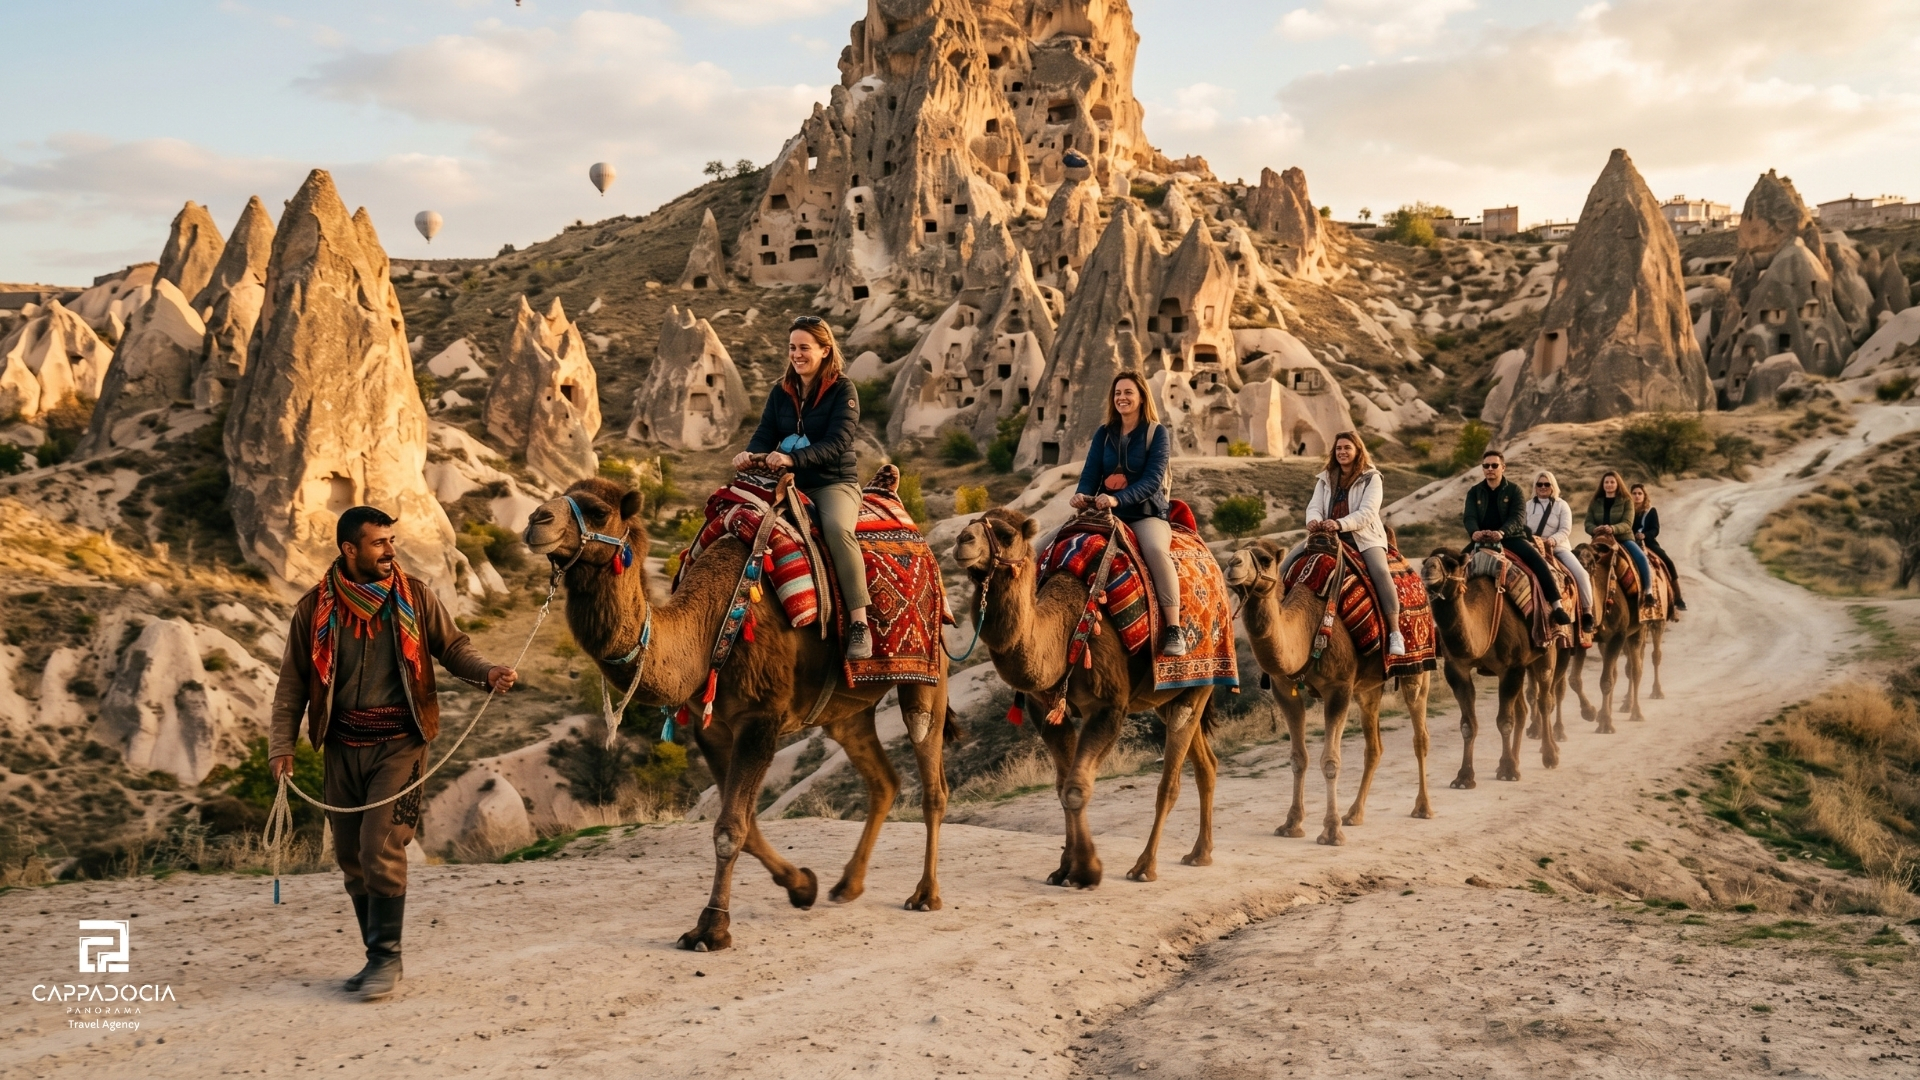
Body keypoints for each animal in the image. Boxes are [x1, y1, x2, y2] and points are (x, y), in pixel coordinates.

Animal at [524, 477, 953, 952]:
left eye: (598, 511)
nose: (536, 520)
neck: (711, 623)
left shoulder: (760, 718)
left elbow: (730, 828)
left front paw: (711, 928)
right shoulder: (711, 728)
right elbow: (745, 826)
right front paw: (803, 886)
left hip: (928, 671)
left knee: (931, 774)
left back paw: (926, 894)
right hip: (846, 711)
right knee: (884, 780)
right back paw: (847, 885)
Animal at [952, 508, 1217, 887]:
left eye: (1005, 534)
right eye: (969, 525)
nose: (963, 541)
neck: (1065, 629)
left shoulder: (1108, 707)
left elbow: (1076, 788)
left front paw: (1087, 871)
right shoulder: (1045, 709)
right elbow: (1062, 786)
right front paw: (1064, 868)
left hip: (1200, 682)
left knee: (1170, 782)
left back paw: (1144, 867)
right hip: (1169, 698)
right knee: (1205, 764)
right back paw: (1200, 854)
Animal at [1224, 538, 1433, 846]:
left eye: (1264, 559)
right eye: (1232, 555)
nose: (1231, 566)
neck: (1307, 625)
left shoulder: (1338, 688)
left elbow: (1331, 761)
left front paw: (1332, 832)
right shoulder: (1284, 689)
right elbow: (1298, 758)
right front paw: (1291, 824)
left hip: (1416, 669)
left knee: (1420, 735)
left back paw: (1423, 808)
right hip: (1368, 688)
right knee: (1374, 746)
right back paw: (1354, 814)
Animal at [1421, 547, 1559, 787]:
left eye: (1451, 564)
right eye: (1425, 561)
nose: (1428, 569)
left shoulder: (1511, 668)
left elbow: (1504, 721)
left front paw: (1508, 770)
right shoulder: (1457, 669)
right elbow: (1468, 725)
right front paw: (1464, 777)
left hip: (1546, 651)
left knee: (1544, 701)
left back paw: (1549, 756)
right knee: (1522, 710)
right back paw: (1515, 759)